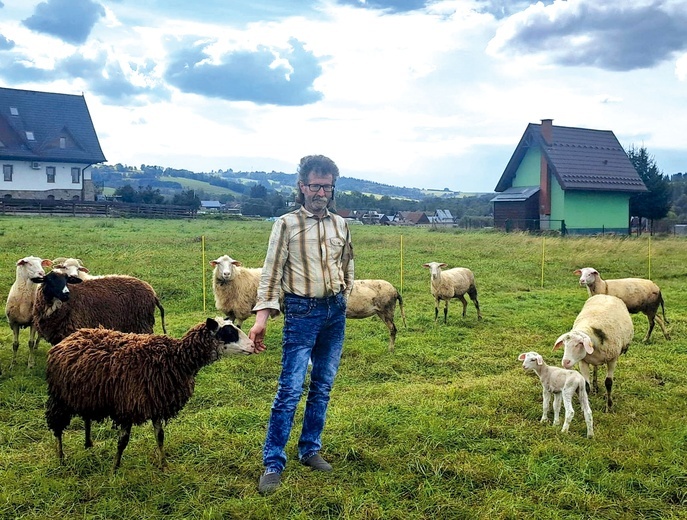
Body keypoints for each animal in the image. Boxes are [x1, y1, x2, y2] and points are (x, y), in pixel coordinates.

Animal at [45, 316, 255, 472]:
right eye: (228, 333)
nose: (253, 346)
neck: (175, 360)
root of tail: (72, 336)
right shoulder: (128, 406)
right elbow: (122, 441)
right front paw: (115, 469)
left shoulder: (156, 403)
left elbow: (160, 436)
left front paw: (163, 464)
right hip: (59, 397)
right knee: (57, 426)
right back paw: (61, 457)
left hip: (84, 395)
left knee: (86, 417)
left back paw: (88, 443)